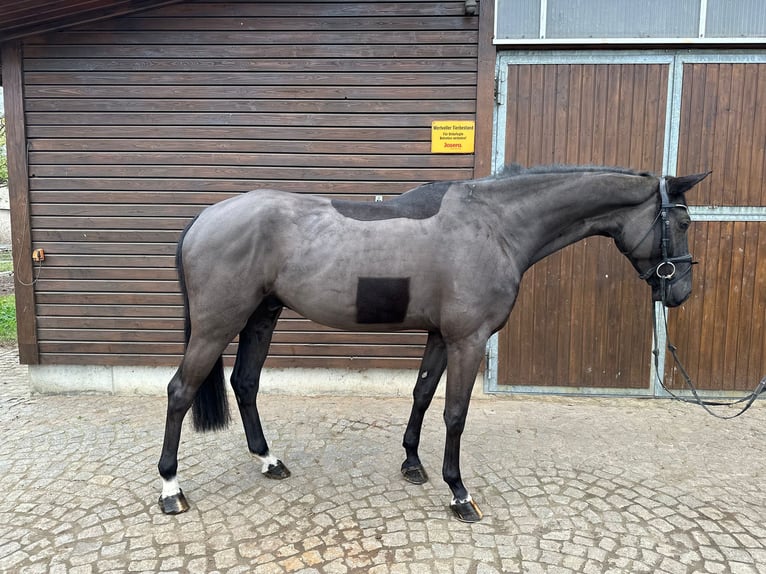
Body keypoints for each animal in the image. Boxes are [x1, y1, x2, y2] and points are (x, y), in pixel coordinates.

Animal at [159, 165, 712, 520]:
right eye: (684, 222)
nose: (681, 291)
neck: (495, 225)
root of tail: (205, 217)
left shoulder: (441, 336)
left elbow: (423, 394)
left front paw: (412, 463)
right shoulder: (469, 339)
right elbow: (455, 414)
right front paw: (459, 493)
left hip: (262, 316)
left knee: (245, 383)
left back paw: (269, 461)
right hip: (217, 325)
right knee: (180, 392)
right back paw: (170, 489)